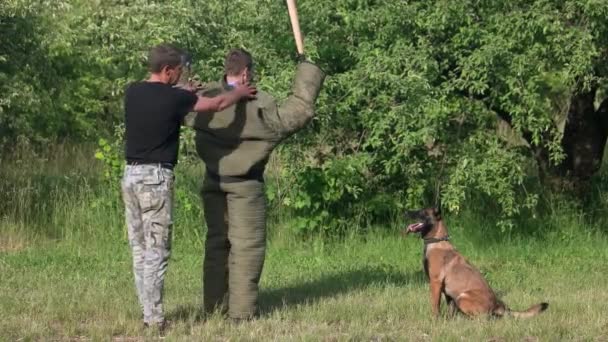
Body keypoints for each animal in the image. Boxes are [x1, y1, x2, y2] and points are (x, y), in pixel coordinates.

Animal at [404, 207, 548, 320]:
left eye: (422, 212)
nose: (405, 212)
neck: (437, 241)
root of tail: (497, 304)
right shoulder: (448, 293)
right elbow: (450, 310)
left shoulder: (435, 283)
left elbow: (435, 305)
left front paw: (435, 320)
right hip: (459, 298)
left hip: (462, 297)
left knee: (483, 318)